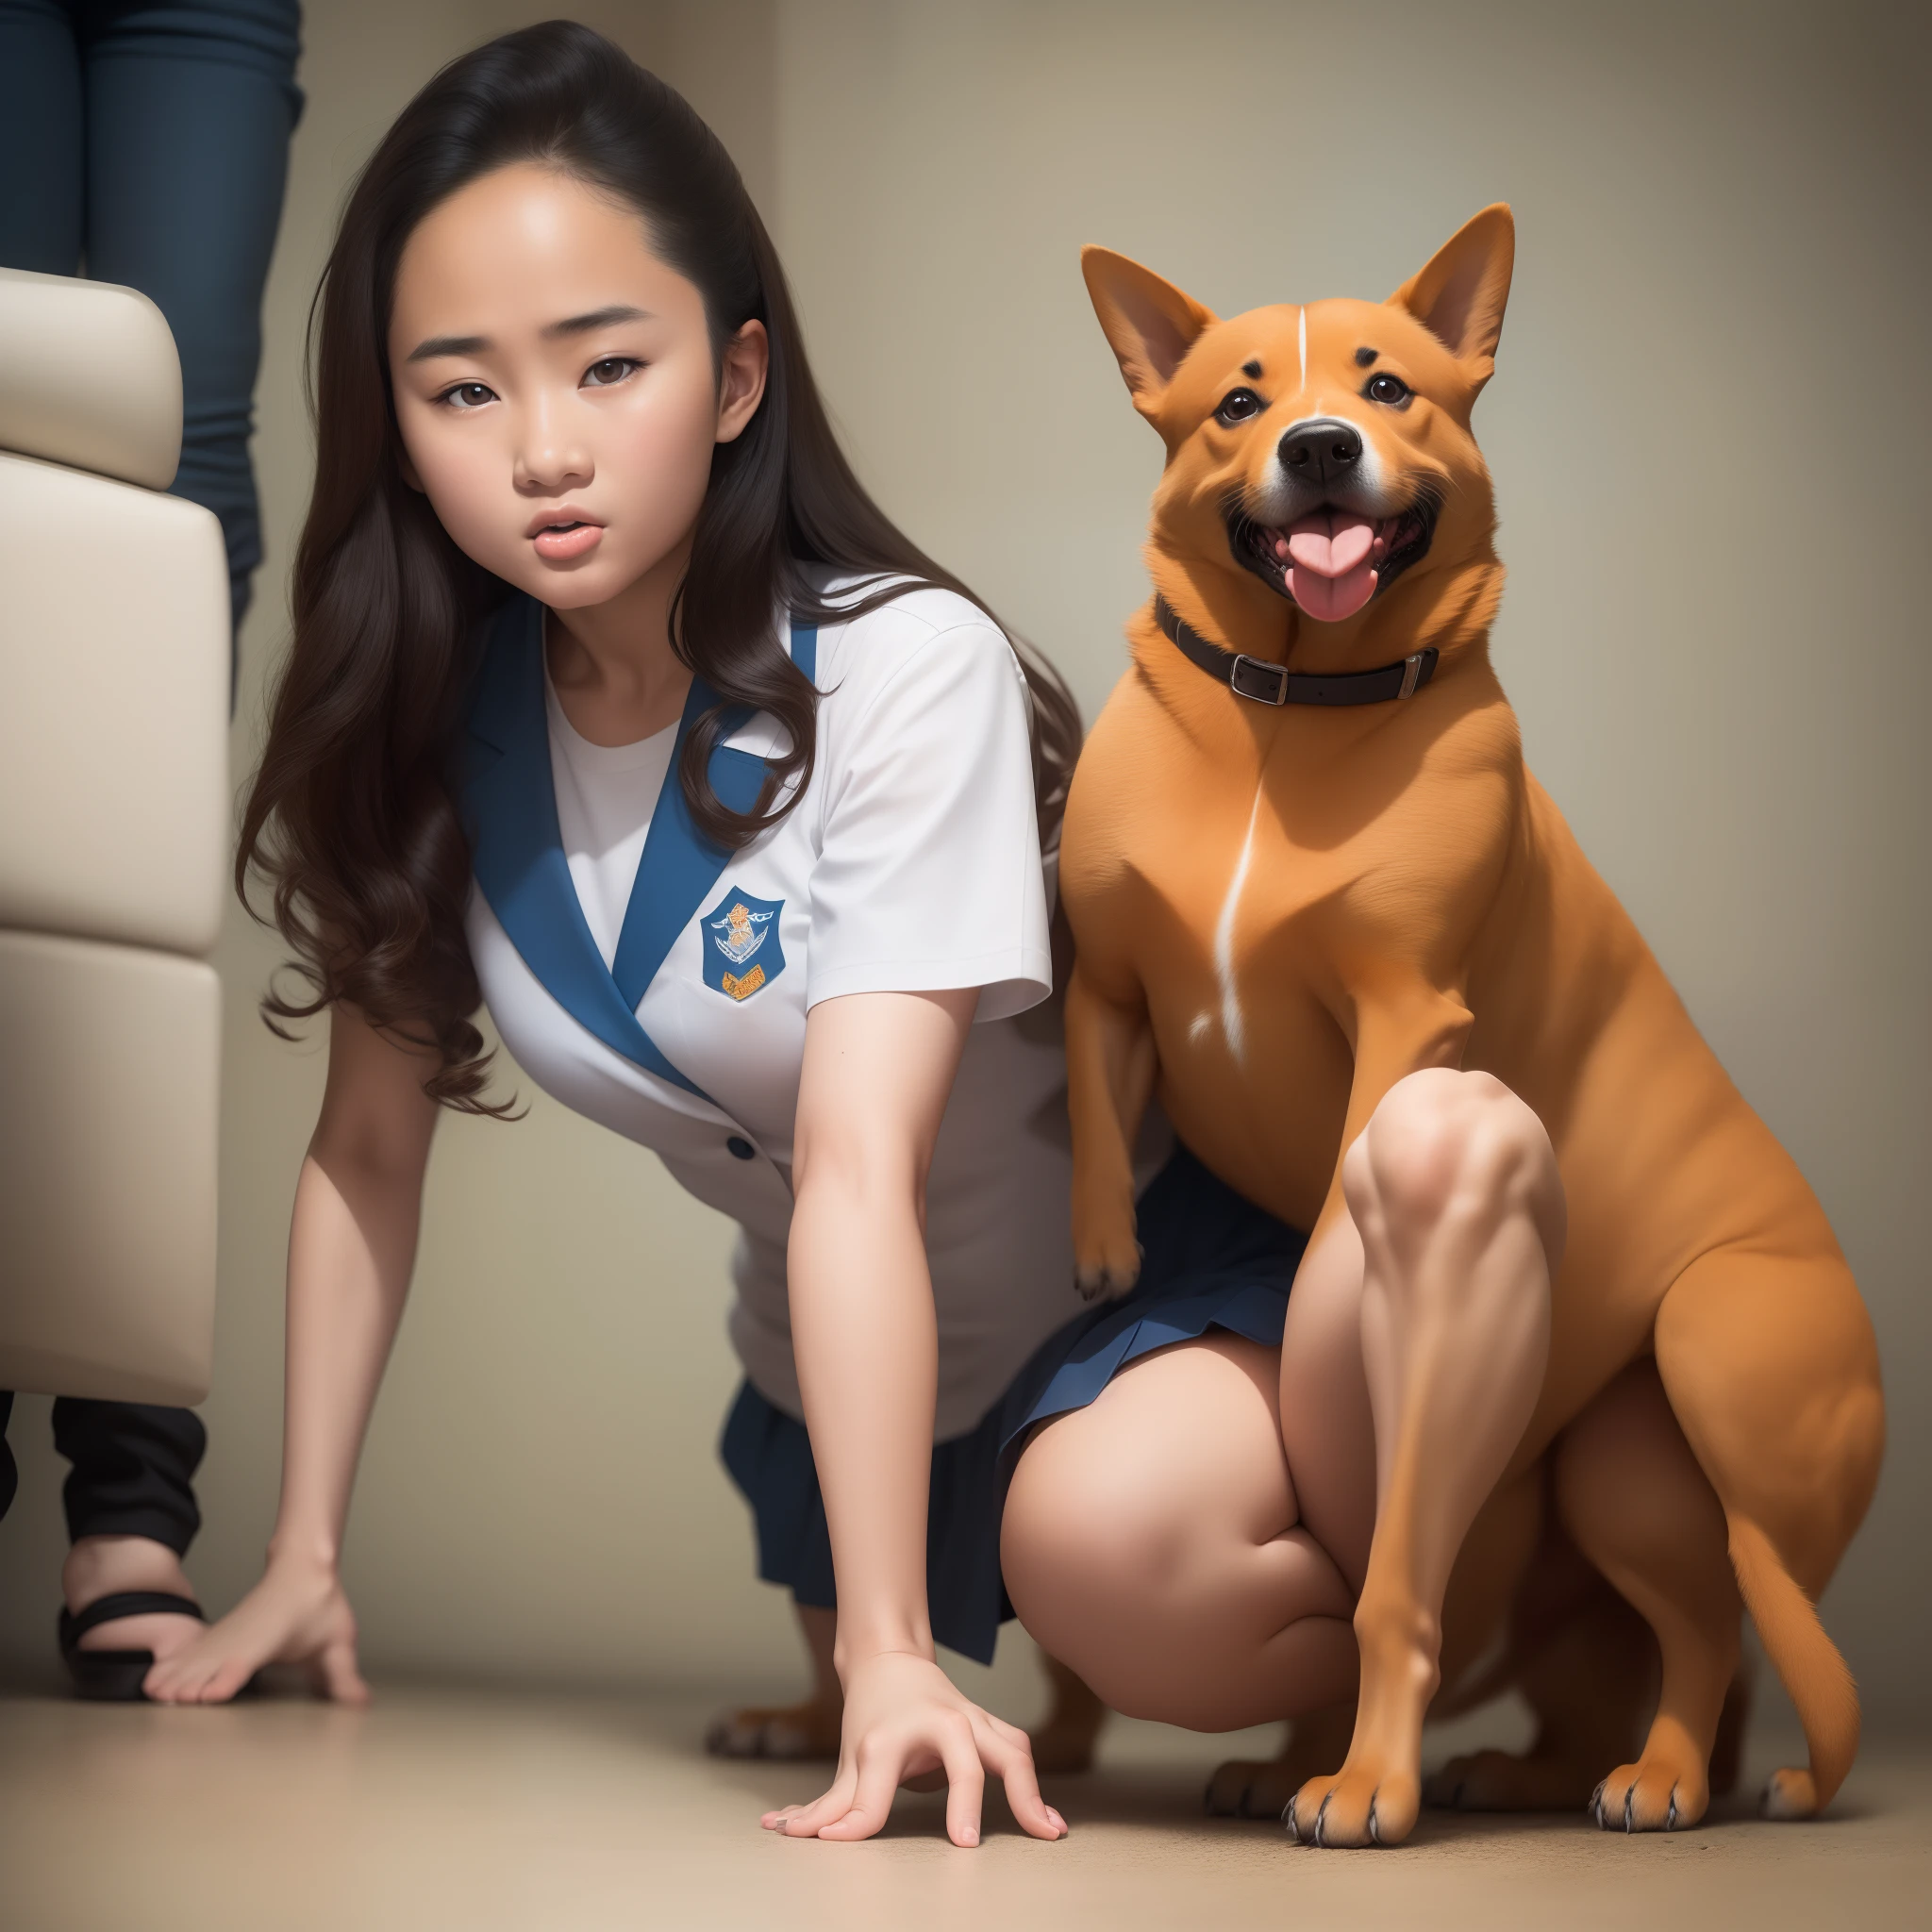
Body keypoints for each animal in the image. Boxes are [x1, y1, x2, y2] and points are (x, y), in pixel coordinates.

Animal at [1066, 208, 1877, 1839]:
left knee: (1726, 1621)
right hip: (1601, 1487)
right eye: (1237, 402)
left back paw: (1656, 1779)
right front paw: (1108, 1256)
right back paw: (1516, 1767)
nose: (1320, 445)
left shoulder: (1403, 1008)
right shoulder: (1116, 991)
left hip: (1713, 1372)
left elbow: (1356, 1164)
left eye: (1390, 384)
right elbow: (1093, 1120)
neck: (1284, 715)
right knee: (1668, 1627)